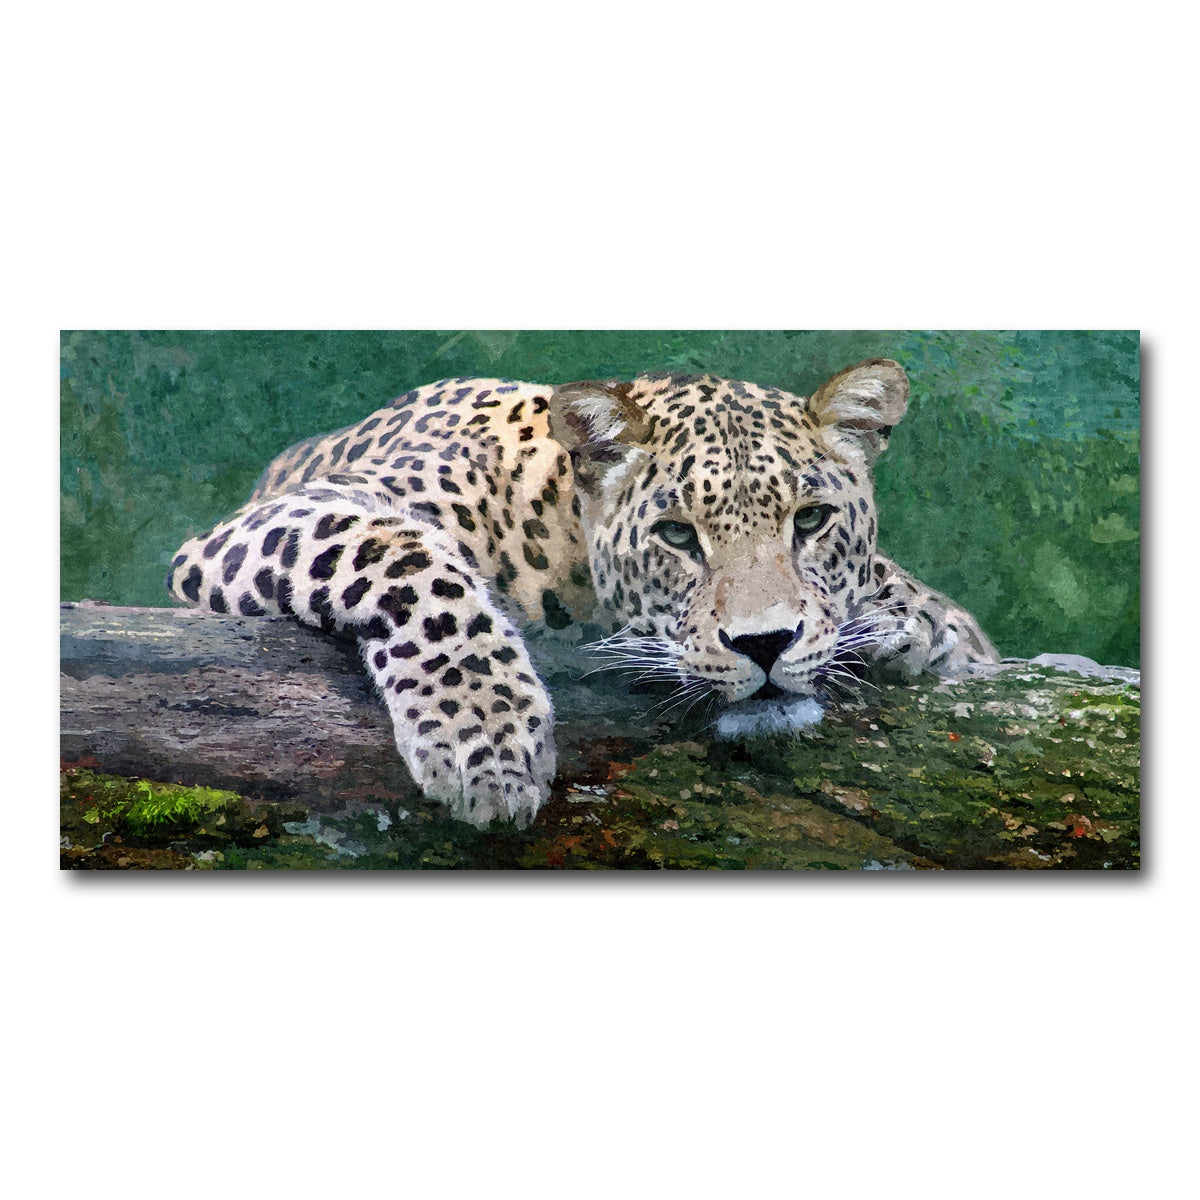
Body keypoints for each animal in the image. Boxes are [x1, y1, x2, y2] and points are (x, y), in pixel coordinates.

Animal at [168, 358, 998, 828]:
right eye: (676, 536)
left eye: (813, 520)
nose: (764, 644)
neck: (558, 531)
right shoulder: (282, 518)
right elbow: (414, 566)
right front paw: (487, 745)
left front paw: (924, 627)